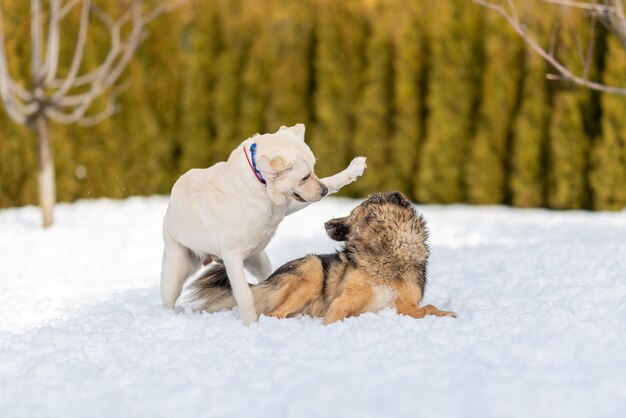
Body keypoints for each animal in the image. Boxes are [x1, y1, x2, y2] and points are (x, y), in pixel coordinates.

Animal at [161, 122, 366, 324]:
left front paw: (353, 170)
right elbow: (244, 294)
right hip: (175, 272)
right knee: (169, 298)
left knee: (267, 281)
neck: (259, 181)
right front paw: (251, 324)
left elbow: (331, 181)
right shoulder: (232, 256)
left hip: (258, 260)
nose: (322, 192)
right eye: (304, 177)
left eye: (313, 169)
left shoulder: (286, 205)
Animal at [188, 191, 456, 324]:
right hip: (312, 268)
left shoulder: (403, 304)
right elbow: (334, 316)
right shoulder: (343, 300)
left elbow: (426, 308)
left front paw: (445, 314)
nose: (326, 223)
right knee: (273, 314)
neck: (383, 254)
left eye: (354, 214)